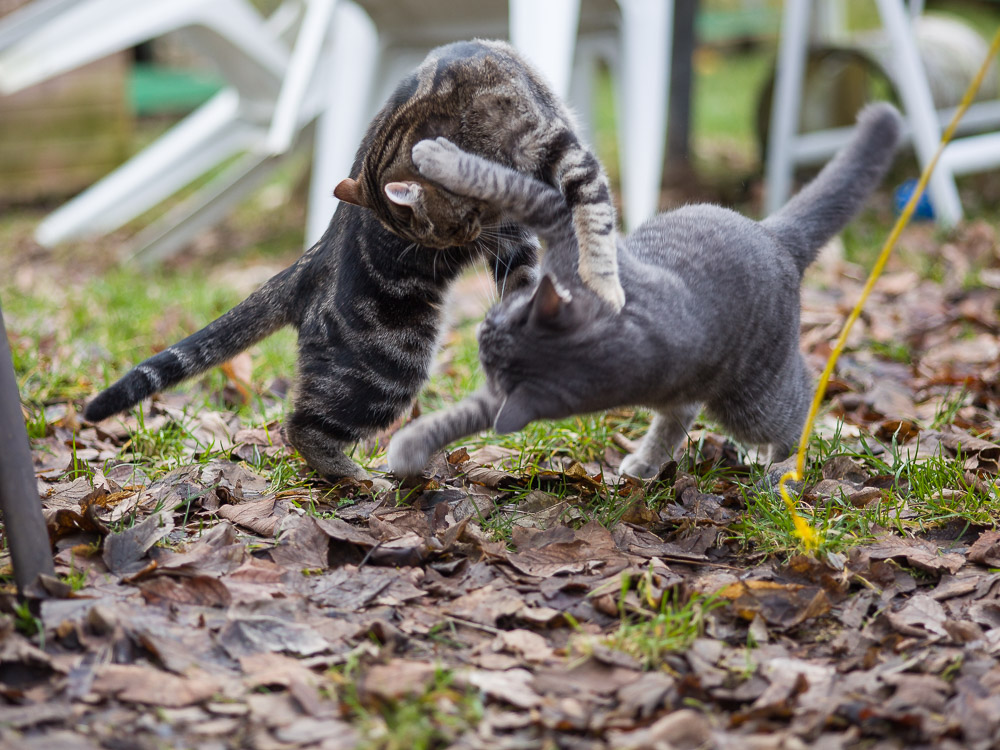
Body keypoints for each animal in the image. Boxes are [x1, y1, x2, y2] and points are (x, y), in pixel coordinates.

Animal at [84, 38, 616, 478]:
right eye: (442, 233)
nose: (456, 245)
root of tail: (310, 261)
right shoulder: (557, 160)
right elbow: (593, 218)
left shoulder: (522, 214)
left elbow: (547, 256)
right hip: (387, 366)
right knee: (300, 426)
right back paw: (358, 477)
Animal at [386, 103, 904, 478]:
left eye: (497, 323)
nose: (480, 330)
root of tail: (776, 237)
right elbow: (460, 417)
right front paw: (410, 448)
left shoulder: (558, 216)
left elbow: (498, 179)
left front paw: (436, 155)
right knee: (681, 414)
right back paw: (645, 463)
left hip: (753, 400)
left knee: (800, 400)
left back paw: (782, 469)